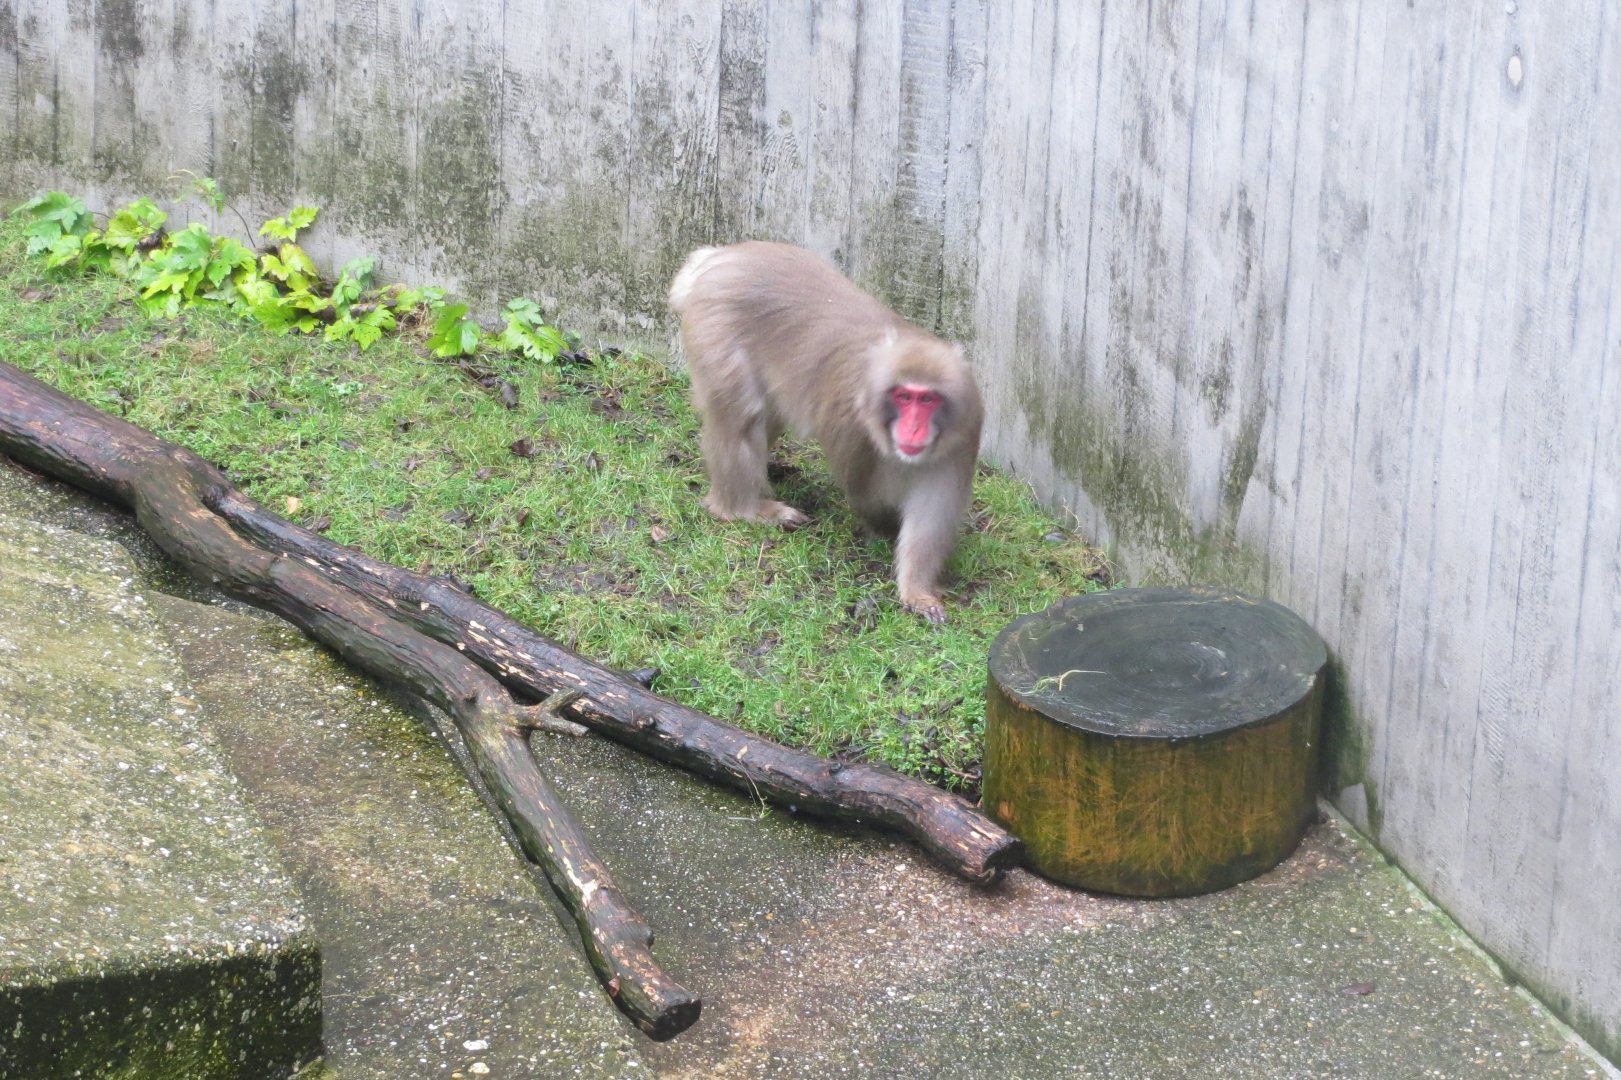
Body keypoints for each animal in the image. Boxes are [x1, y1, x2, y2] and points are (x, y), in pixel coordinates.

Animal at [668, 241, 983, 623]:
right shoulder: (852, 428)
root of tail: (721, 256)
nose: (913, 427)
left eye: (928, 399)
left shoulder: (964, 431)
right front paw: (884, 527)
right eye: (905, 396)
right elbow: (864, 489)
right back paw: (741, 508)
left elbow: (931, 512)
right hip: (716, 328)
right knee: (743, 416)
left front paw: (917, 591)